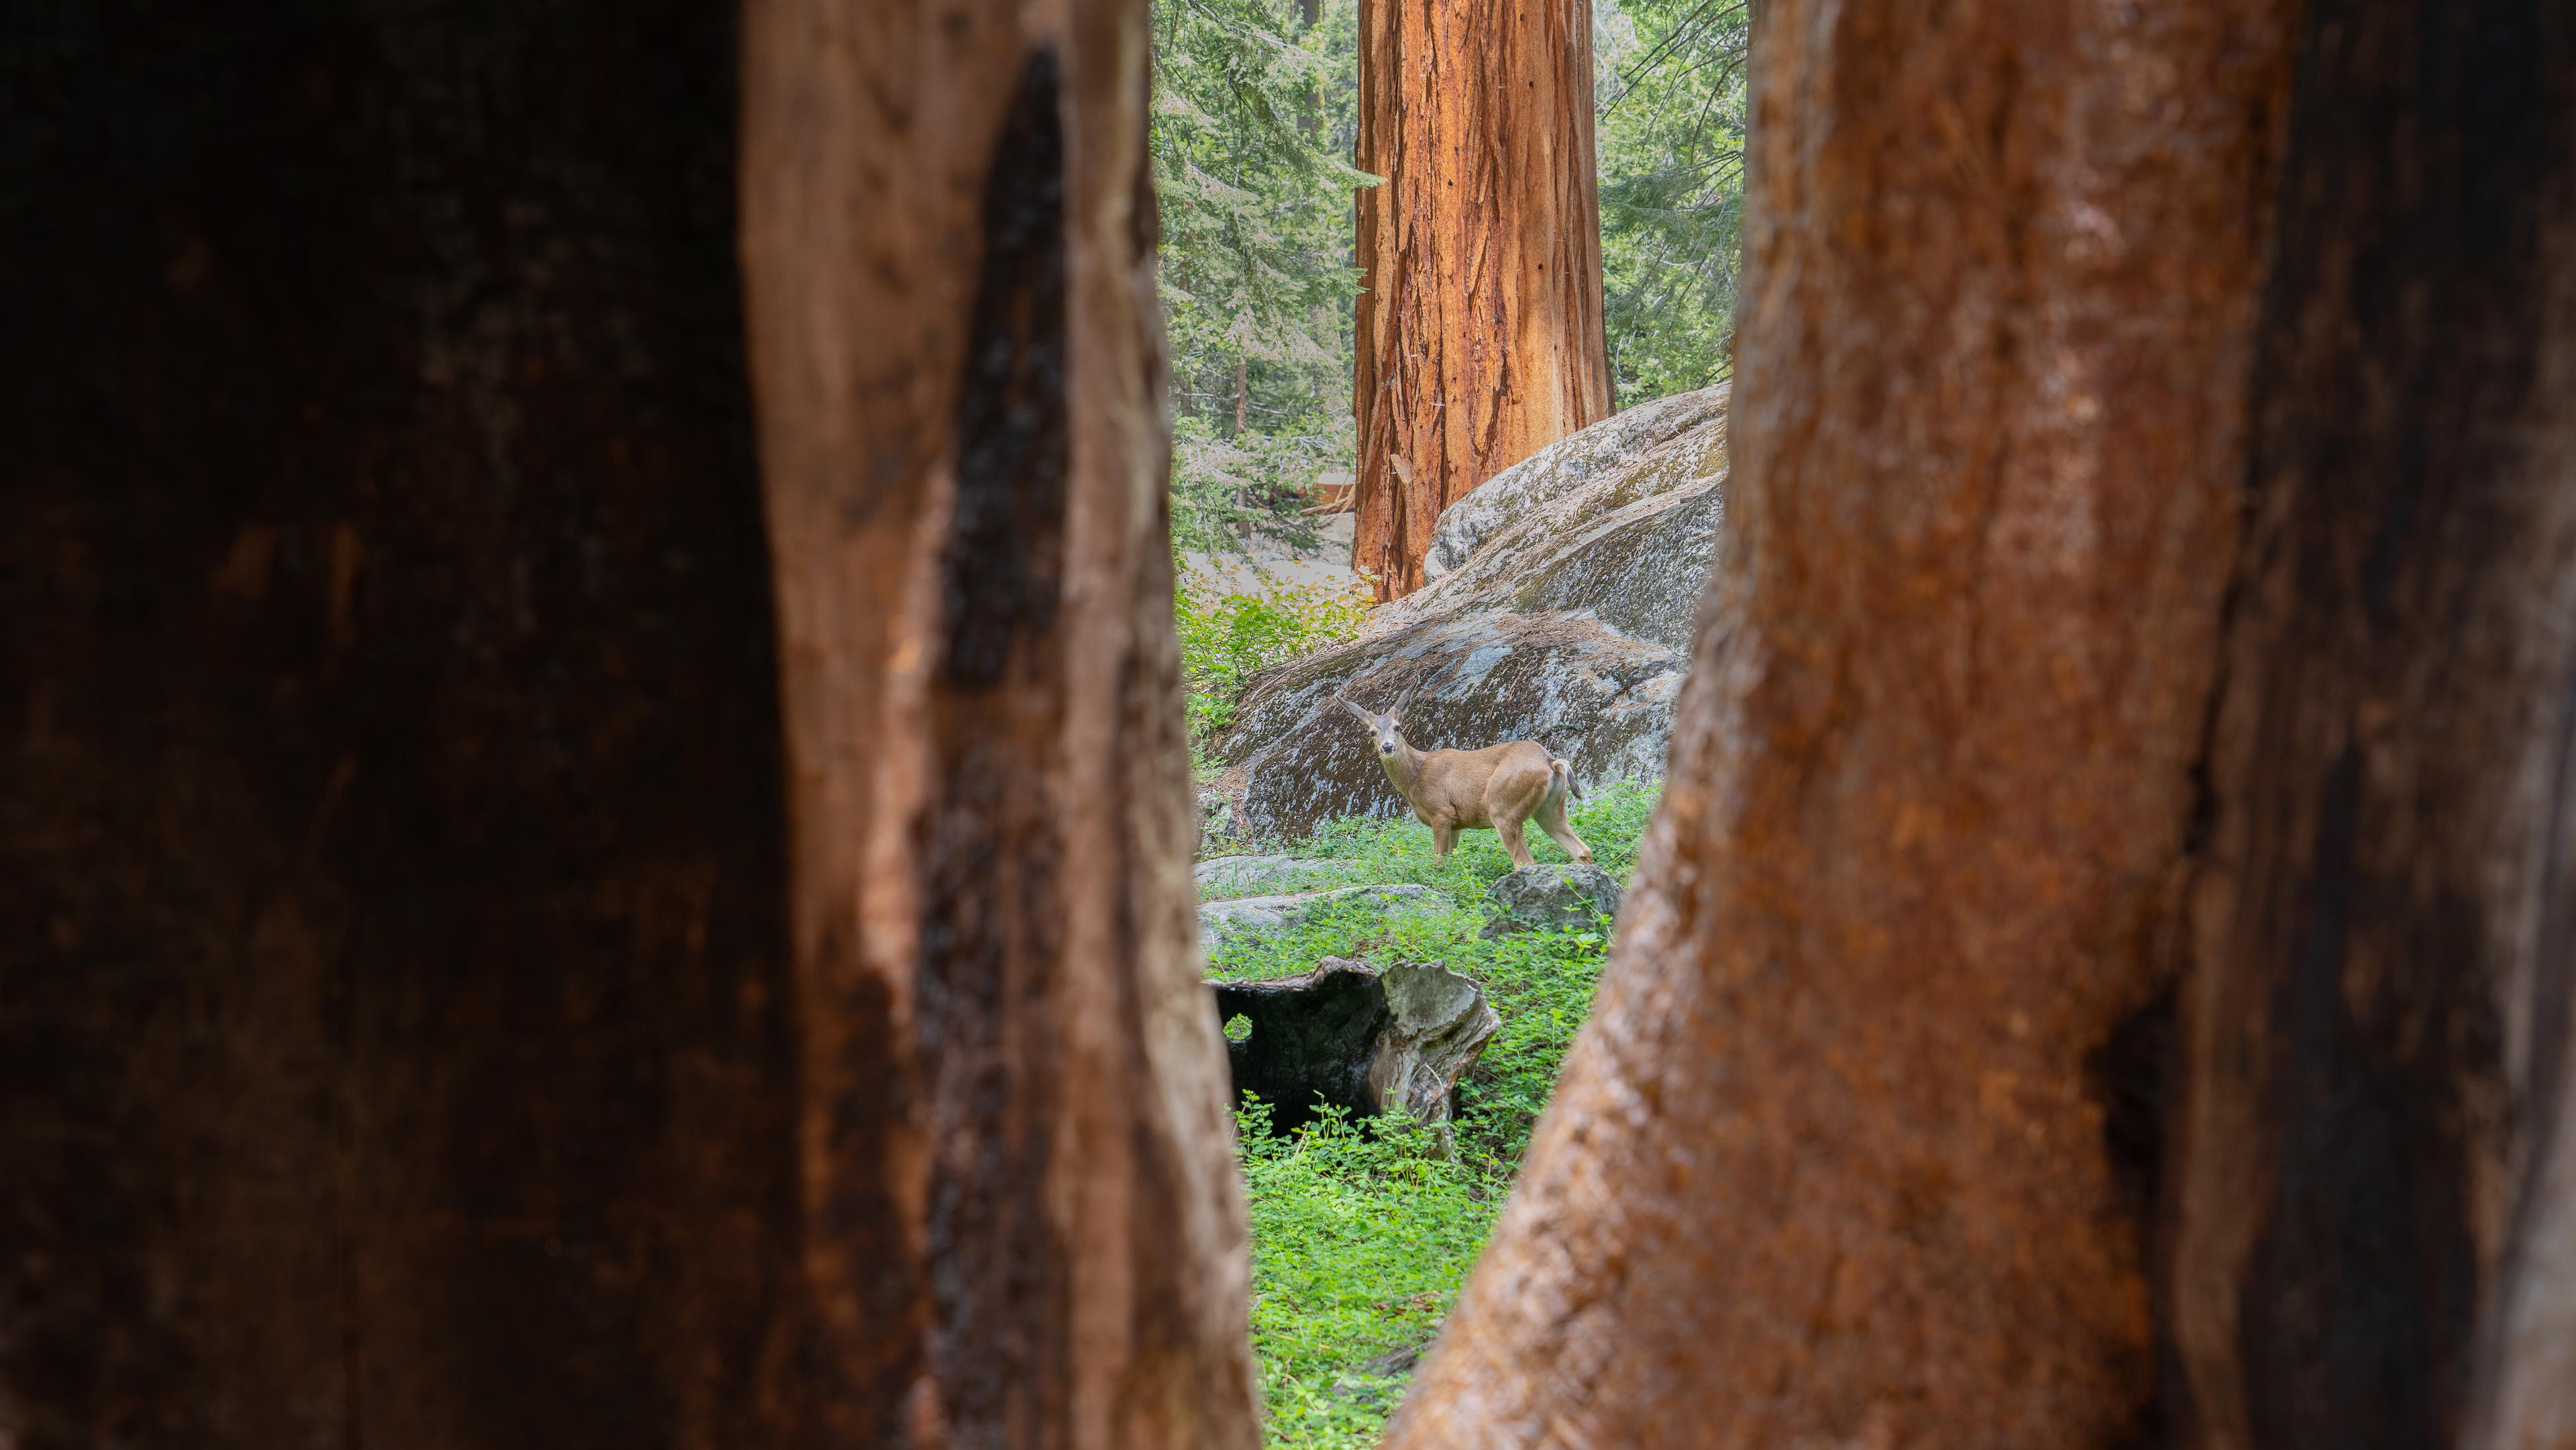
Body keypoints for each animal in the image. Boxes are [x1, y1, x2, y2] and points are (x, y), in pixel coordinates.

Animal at [1339, 695, 1597, 870]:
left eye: (1398, 727)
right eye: (1372, 732)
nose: (1388, 746)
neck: (1416, 778)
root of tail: (1551, 762)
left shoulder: (1441, 812)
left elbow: (1438, 863)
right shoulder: (1456, 823)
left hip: (1503, 806)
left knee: (1524, 862)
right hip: (1549, 808)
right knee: (1582, 850)